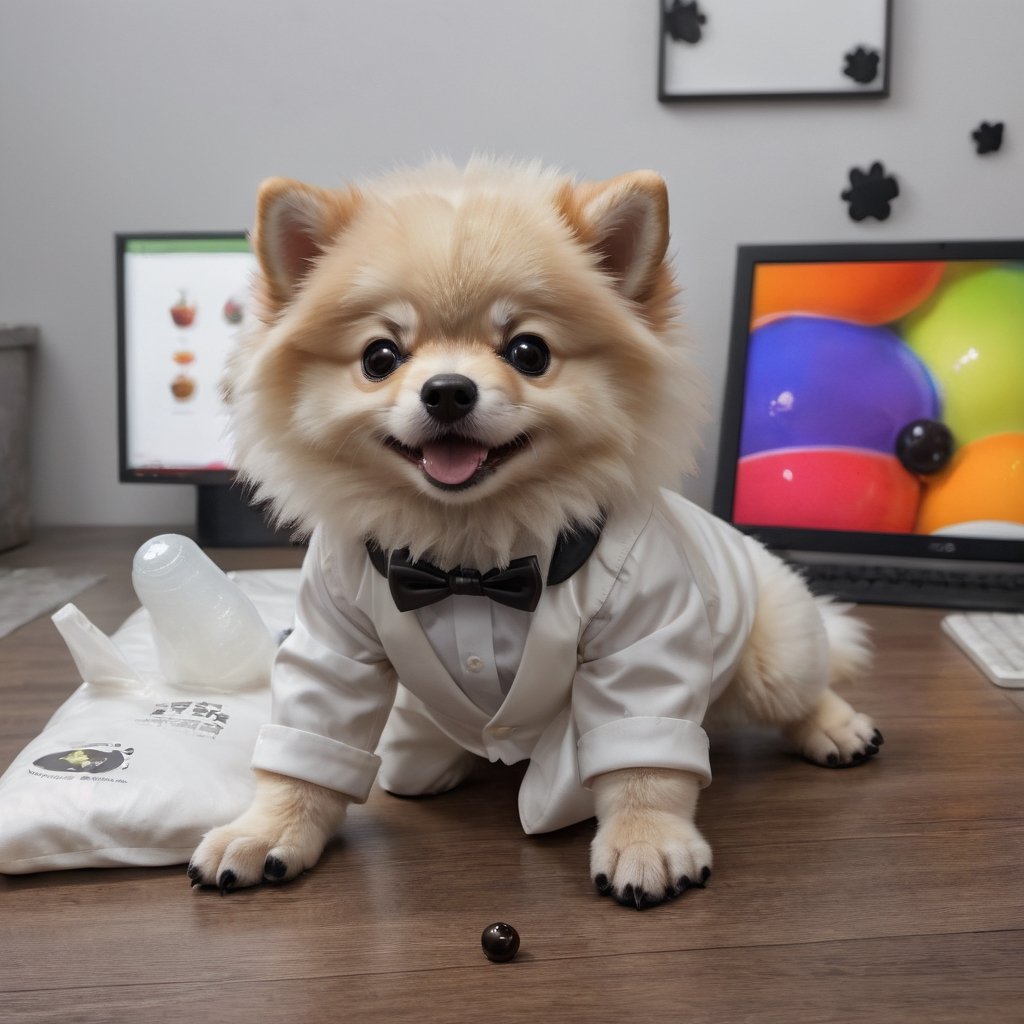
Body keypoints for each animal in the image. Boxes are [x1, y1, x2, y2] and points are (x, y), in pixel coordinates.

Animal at [192, 155, 880, 909]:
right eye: (380, 357)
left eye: (528, 351)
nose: (448, 390)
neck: (470, 556)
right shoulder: (335, 635)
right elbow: (306, 745)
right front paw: (266, 831)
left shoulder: (645, 635)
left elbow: (644, 761)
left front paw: (647, 841)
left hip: (772, 654)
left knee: (805, 684)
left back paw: (838, 728)